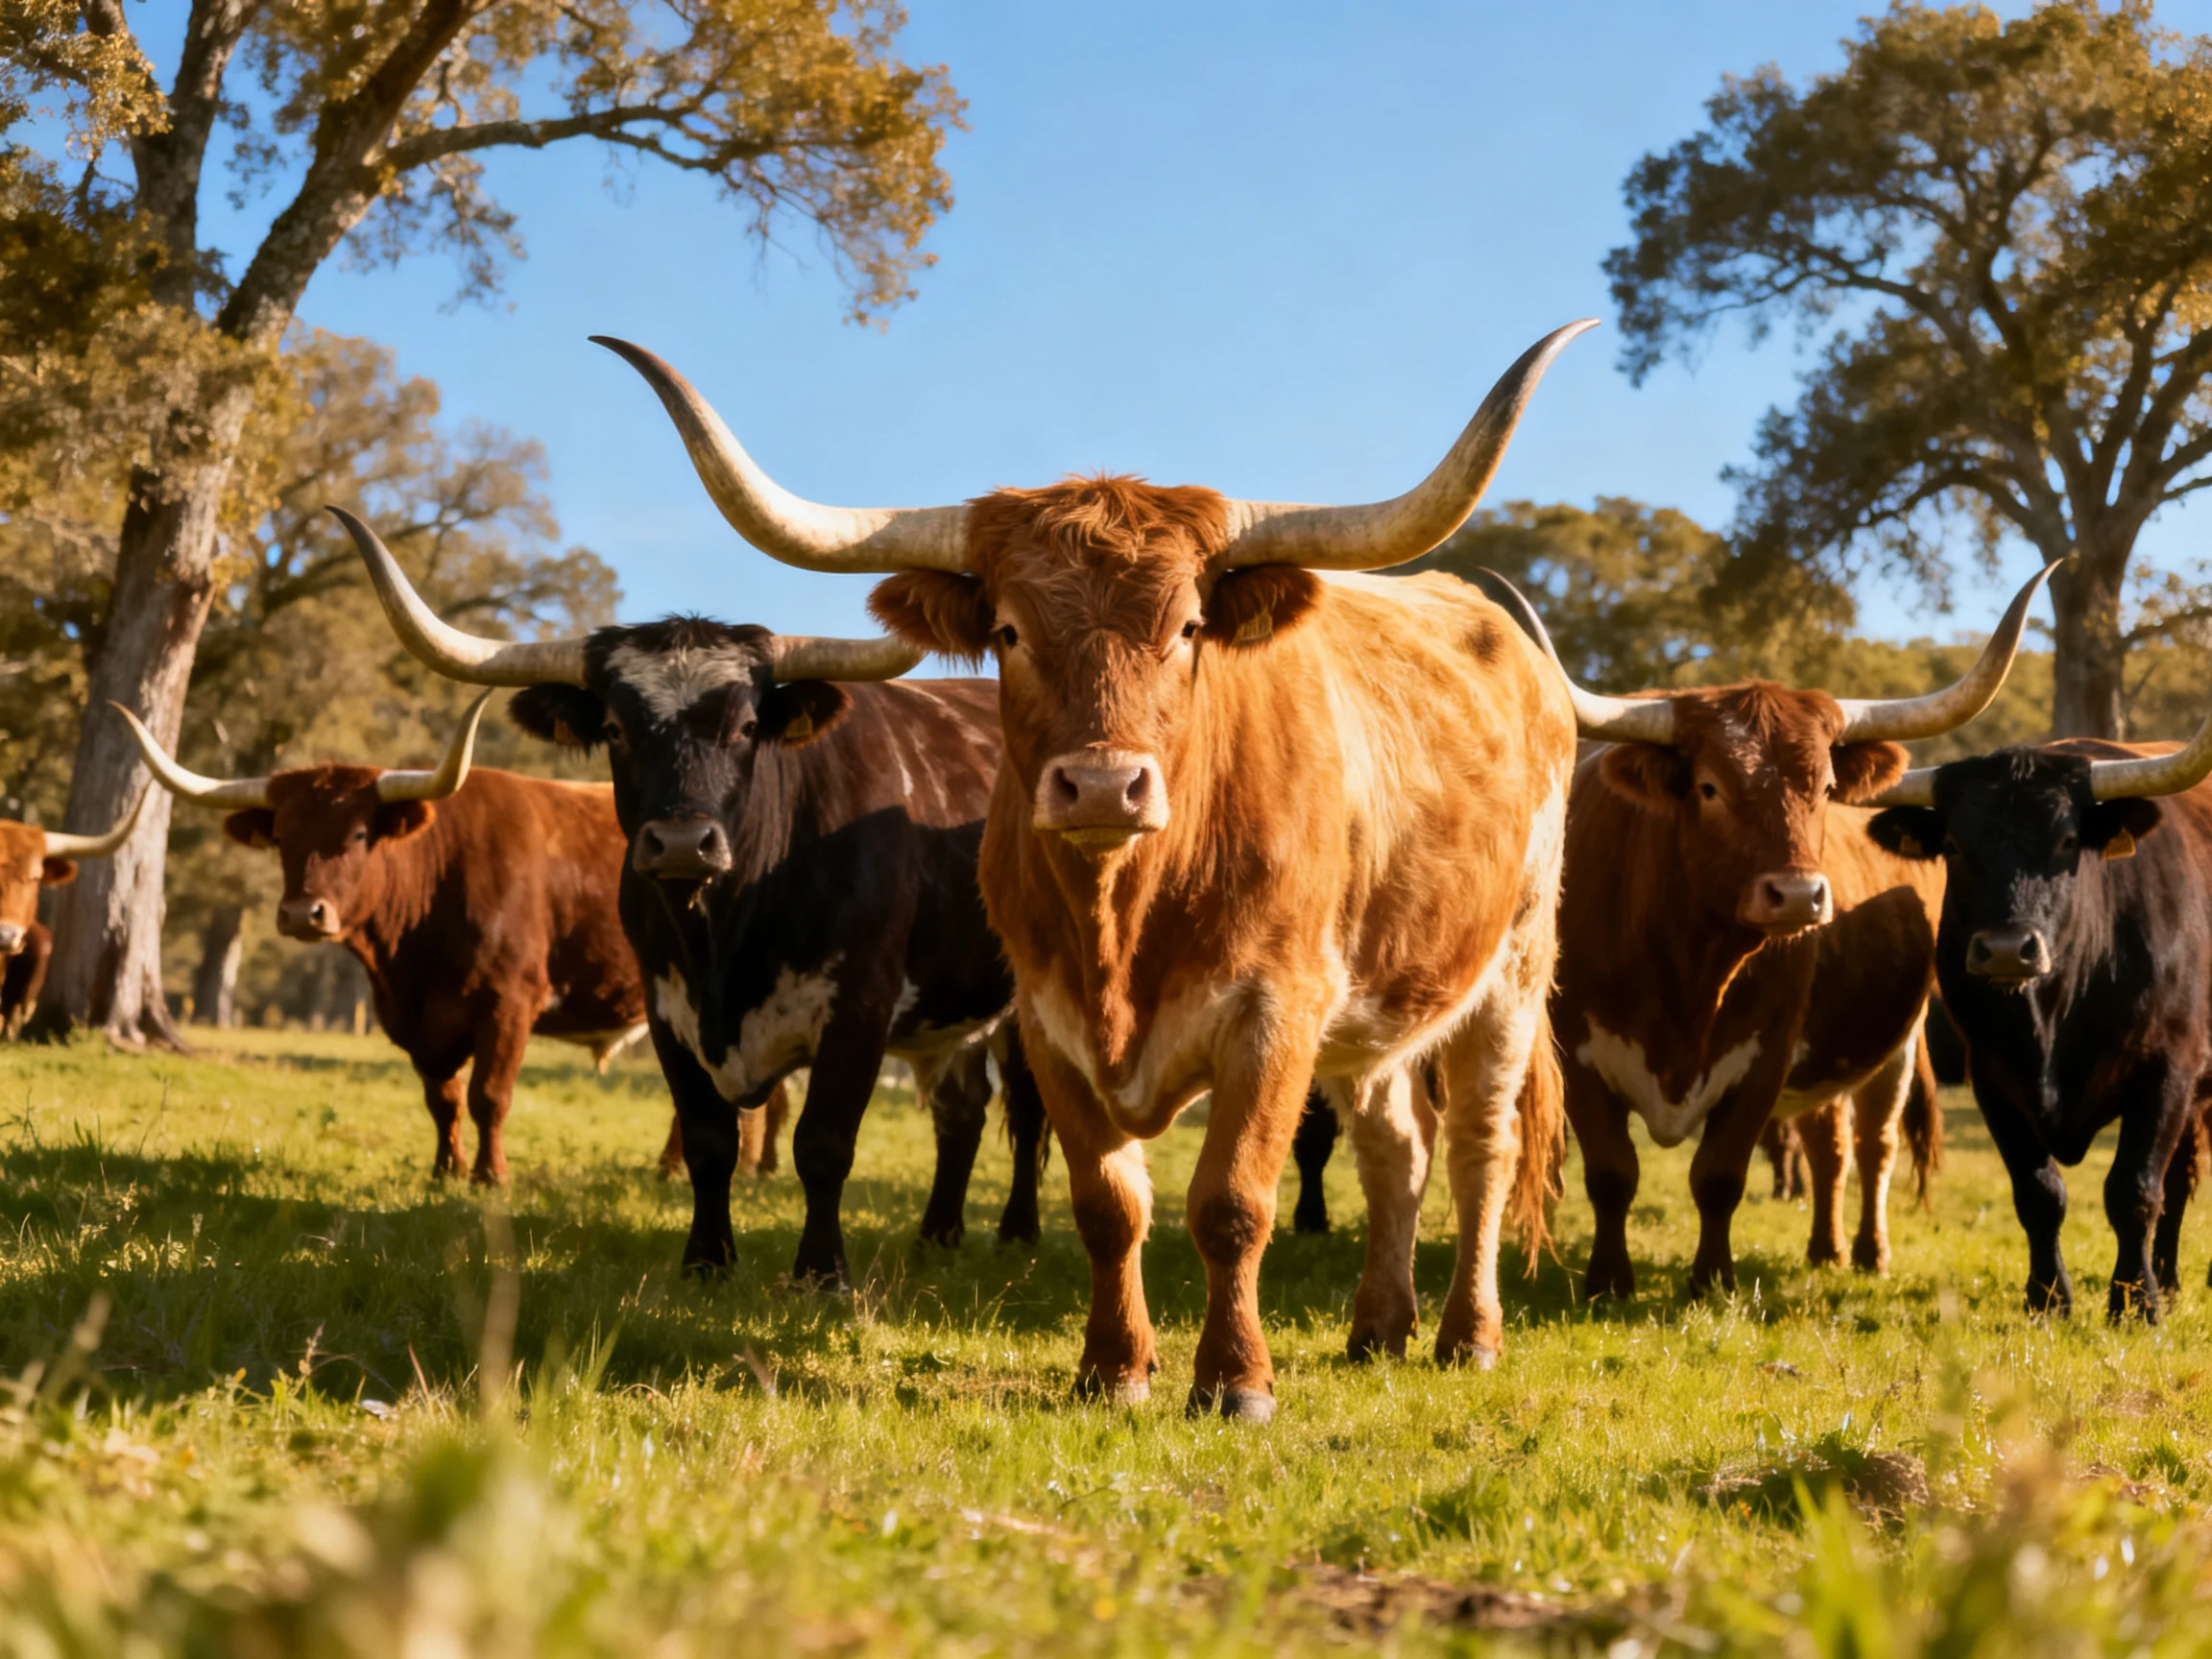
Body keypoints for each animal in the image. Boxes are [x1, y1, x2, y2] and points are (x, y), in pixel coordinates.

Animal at [118, 697, 656, 1184]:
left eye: (358, 835)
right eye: (281, 838)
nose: (302, 913)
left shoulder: (510, 1001)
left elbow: (489, 1095)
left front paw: (491, 1176)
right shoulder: (414, 1021)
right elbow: (443, 1100)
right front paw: (446, 1171)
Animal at [337, 514, 1052, 1286]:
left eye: (746, 728)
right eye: (616, 729)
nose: (682, 843)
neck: (726, 936)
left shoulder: (859, 1006)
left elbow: (823, 1145)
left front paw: (821, 1273)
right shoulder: (669, 1012)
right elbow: (710, 1143)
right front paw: (707, 1261)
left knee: (1028, 1109)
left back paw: (1017, 1232)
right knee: (962, 1111)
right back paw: (937, 1234)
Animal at [574, 324, 1627, 1420]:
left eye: (1189, 627)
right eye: (1008, 631)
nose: (1102, 786)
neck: (1128, 910)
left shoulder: (1277, 1011)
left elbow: (1232, 1201)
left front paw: (1235, 1381)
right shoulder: (1049, 1021)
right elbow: (1108, 1203)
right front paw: (1115, 1368)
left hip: (1511, 972)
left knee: (1478, 1150)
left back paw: (1469, 1335)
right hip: (1377, 1008)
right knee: (1397, 1148)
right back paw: (1379, 1326)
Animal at [1482, 567, 2047, 1300]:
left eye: (1826, 786)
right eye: (1709, 787)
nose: (1800, 895)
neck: (1691, 972)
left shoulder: (1766, 1057)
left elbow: (1719, 1176)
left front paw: (1712, 1281)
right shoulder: (1579, 1053)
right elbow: (1611, 1173)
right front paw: (1609, 1280)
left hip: (1897, 1041)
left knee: (1872, 1145)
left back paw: (1868, 1252)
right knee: (1828, 1146)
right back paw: (1825, 1249)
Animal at [1866, 716, 2212, 1321]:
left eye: (2068, 841)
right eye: (1953, 845)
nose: (2007, 950)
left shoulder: (2168, 1069)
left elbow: (2134, 1190)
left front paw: (2134, 1304)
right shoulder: (1993, 1080)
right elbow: (2039, 1194)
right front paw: (2049, 1298)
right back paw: (2170, 1280)